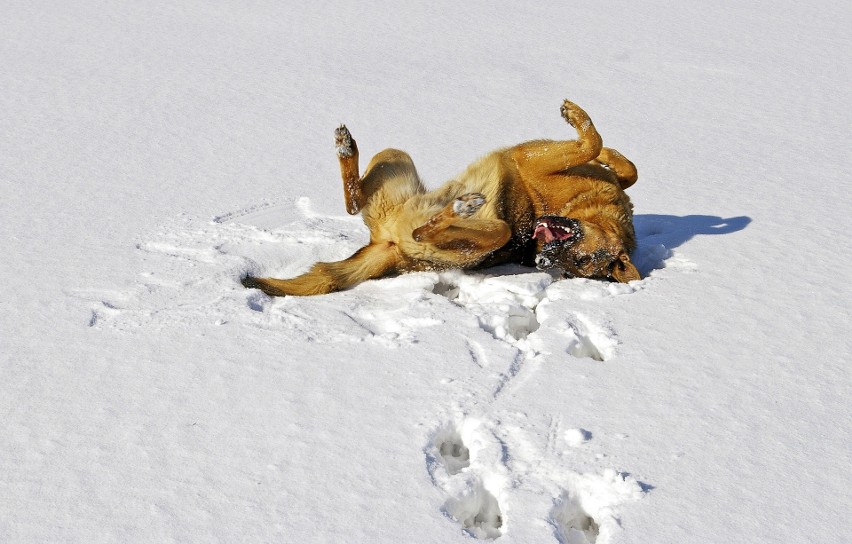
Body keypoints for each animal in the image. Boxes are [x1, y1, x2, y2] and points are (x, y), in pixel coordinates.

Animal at [241, 99, 640, 296]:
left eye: (578, 265)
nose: (541, 262)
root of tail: (390, 247)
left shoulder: (532, 158)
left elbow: (592, 142)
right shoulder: (538, 157)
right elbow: (620, 162)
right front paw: (604, 148)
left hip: (477, 235)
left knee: (425, 227)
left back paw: (460, 207)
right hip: (394, 155)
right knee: (353, 200)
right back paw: (345, 147)